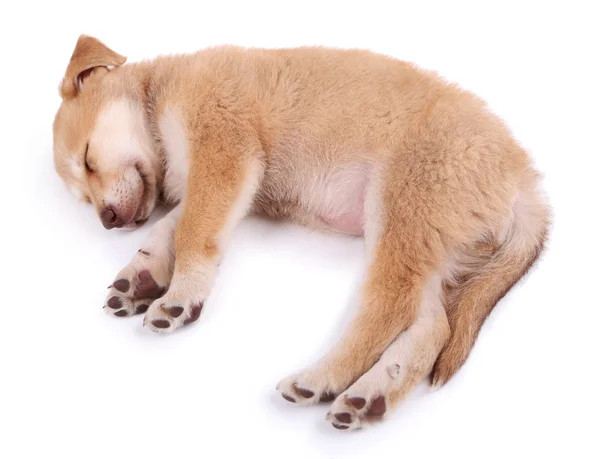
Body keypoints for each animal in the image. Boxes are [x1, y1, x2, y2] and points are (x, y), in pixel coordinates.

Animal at [54, 35, 552, 432]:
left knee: (388, 311)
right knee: (431, 326)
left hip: (398, 213)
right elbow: (170, 227)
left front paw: (179, 295)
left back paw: (322, 378)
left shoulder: (223, 153)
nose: (107, 220)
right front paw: (142, 274)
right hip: (424, 242)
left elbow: (193, 232)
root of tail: (523, 177)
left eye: (88, 159)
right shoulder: (227, 184)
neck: (159, 94)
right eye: (83, 197)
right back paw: (370, 398)